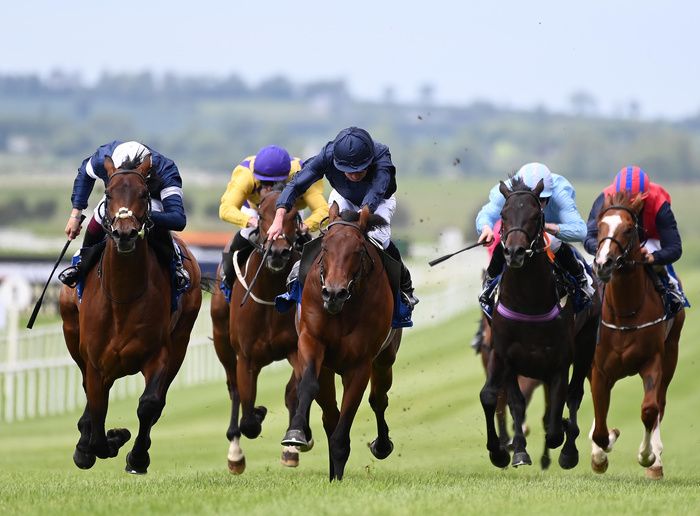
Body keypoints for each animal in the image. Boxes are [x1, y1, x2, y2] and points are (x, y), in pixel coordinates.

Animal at [58, 154, 201, 476]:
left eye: (144, 194)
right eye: (109, 194)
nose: (125, 233)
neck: (122, 297)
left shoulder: (158, 353)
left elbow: (149, 405)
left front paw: (136, 457)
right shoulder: (95, 360)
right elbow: (97, 410)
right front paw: (102, 442)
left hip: (180, 342)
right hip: (73, 336)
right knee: (89, 392)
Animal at [208, 187, 306, 474]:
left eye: (295, 216)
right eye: (261, 215)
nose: (278, 253)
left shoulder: (297, 348)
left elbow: (294, 392)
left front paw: (294, 445)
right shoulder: (247, 358)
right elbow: (249, 418)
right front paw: (259, 413)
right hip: (222, 342)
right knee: (234, 389)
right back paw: (235, 453)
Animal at [278, 201, 400, 480]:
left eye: (358, 250)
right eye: (325, 247)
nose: (334, 293)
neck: (342, 310)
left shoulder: (360, 364)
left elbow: (350, 411)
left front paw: (340, 463)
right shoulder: (311, 342)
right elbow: (308, 385)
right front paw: (296, 433)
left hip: (385, 359)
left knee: (378, 399)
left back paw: (381, 445)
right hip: (326, 368)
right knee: (329, 414)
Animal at [478, 179, 600, 470]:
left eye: (536, 216)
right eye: (503, 215)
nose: (514, 252)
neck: (527, 301)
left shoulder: (558, 362)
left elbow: (556, 419)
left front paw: (562, 439)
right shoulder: (504, 354)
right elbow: (504, 400)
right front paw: (509, 452)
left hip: (586, 345)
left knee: (574, 395)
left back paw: (568, 451)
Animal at [592, 190, 684, 480]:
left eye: (629, 228)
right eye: (599, 226)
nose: (603, 264)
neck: (624, 312)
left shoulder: (652, 361)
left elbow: (649, 410)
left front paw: (648, 456)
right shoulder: (598, 368)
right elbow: (600, 425)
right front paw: (602, 451)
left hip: (672, 354)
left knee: (660, 404)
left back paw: (655, 461)